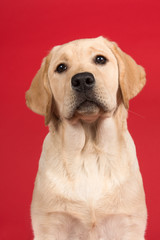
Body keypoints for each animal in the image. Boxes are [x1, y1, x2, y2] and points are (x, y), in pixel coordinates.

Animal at [25, 36, 147, 240]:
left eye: (100, 59)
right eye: (61, 67)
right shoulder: (50, 225)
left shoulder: (128, 224)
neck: (89, 151)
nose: (82, 80)